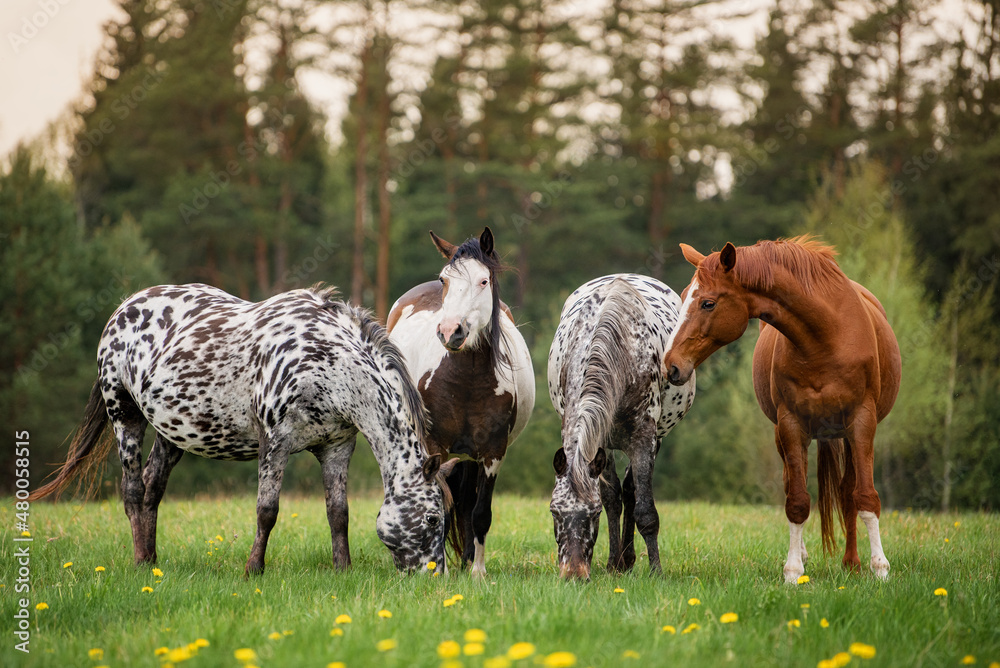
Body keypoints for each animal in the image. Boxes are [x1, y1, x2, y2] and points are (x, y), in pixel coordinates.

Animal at [30, 282, 454, 576]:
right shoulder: (275, 444)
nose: (435, 578)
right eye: (434, 519)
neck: (327, 363)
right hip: (124, 413)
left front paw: (342, 569)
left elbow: (339, 512)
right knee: (133, 490)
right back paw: (138, 562)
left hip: (172, 430)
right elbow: (267, 511)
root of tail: (123, 309)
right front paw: (253, 569)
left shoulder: (337, 447)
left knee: (153, 487)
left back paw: (152, 559)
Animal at [386, 227, 536, 576]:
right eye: (445, 280)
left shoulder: (494, 453)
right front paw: (436, 568)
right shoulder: (434, 447)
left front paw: (477, 572)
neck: (466, 380)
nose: (449, 331)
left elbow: (480, 513)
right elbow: (438, 504)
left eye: (483, 280)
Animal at [548, 276, 696, 580]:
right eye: (555, 512)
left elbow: (646, 512)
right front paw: (612, 563)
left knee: (632, 492)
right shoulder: (597, 442)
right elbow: (611, 498)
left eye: (593, 514)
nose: (574, 573)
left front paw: (656, 571)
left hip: (654, 439)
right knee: (621, 493)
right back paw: (620, 561)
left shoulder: (644, 439)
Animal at [660, 237, 904, 580]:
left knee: (847, 492)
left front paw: (880, 568)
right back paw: (805, 555)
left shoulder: (862, 423)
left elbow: (865, 496)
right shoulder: (791, 424)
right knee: (795, 484)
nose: (670, 365)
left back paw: (852, 562)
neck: (826, 337)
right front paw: (792, 571)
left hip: (844, 434)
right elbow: (797, 501)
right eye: (683, 298)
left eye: (708, 303)